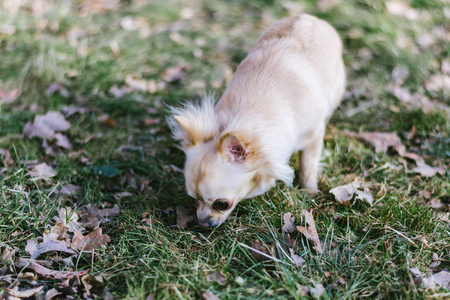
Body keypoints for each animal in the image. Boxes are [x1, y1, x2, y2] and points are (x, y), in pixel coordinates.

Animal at [169, 14, 344, 227]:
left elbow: (308, 163)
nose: (201, 223)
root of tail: (312, 18)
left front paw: (309, 189)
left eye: (221, 204)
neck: (244, 116)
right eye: (194, 200)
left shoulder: (314, 134)